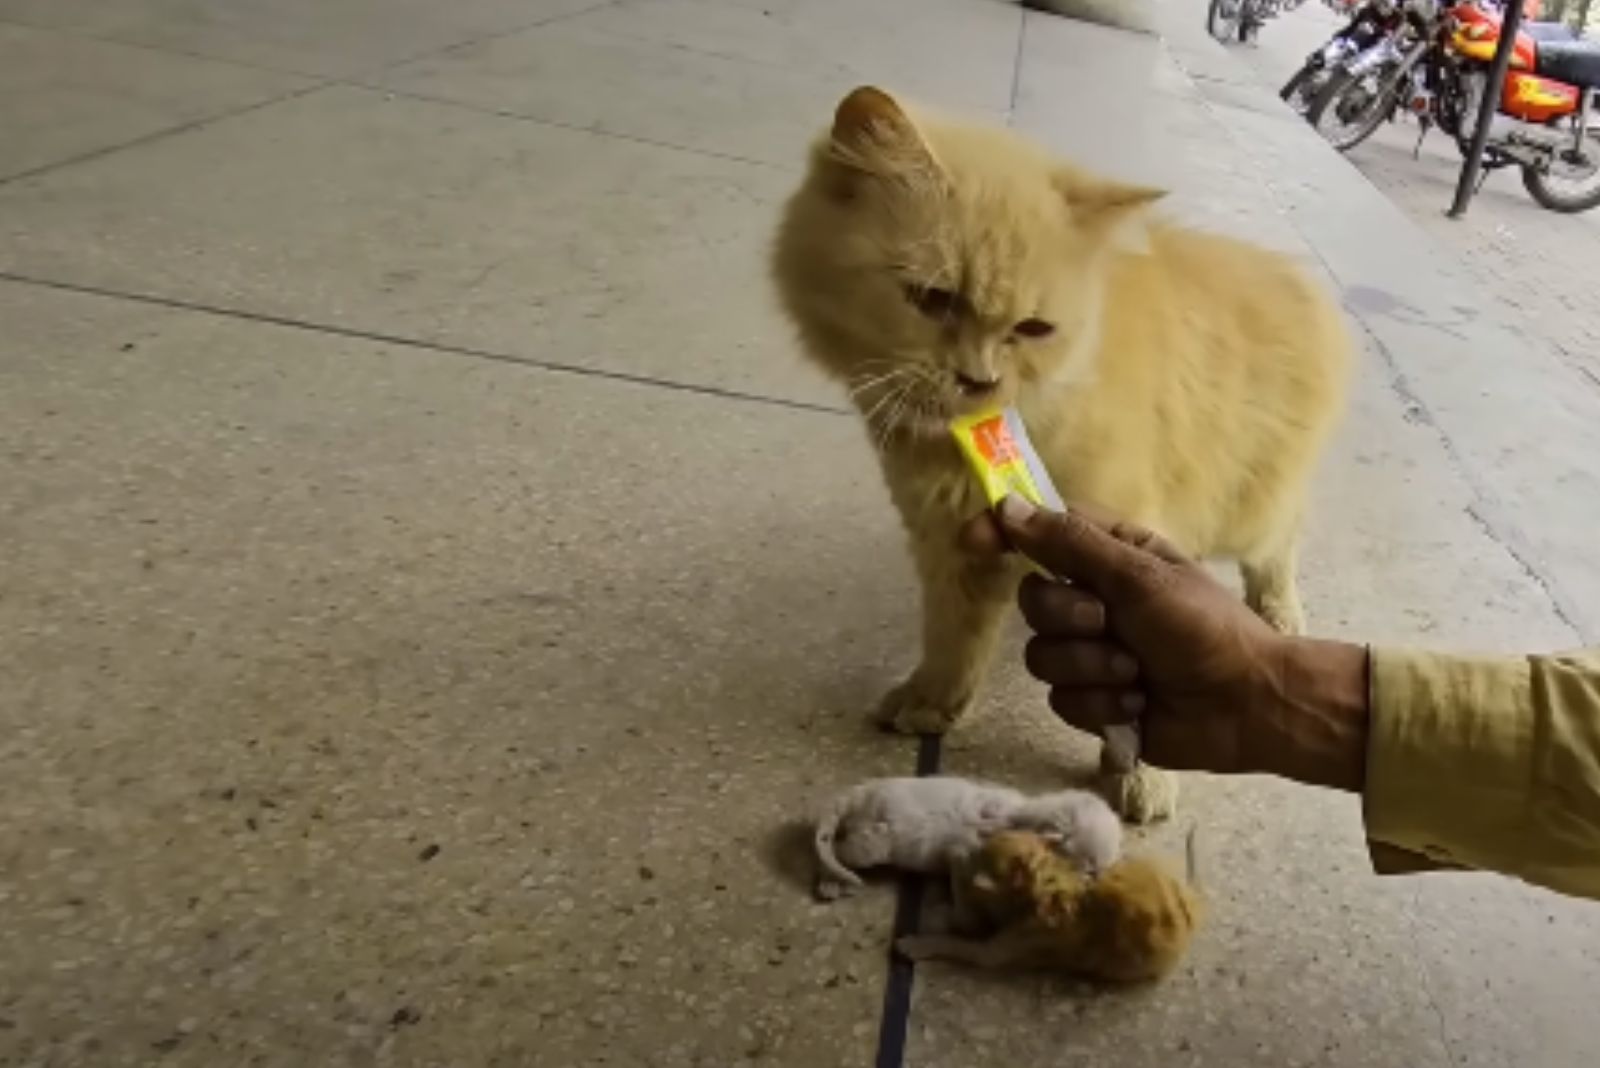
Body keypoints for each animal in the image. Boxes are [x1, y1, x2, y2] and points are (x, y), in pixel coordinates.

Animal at [774, 87, 1350, 824]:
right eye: (932, 299)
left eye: (1032, 328)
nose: (979, 381)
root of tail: (1295, 273)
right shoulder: (948, 543)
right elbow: (953, 638)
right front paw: (934, 703)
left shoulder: (1121, 528)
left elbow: (1135, 685)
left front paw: (1144, 775)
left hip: (1249, 507)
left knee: (1281, 543)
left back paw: (1279, 613)